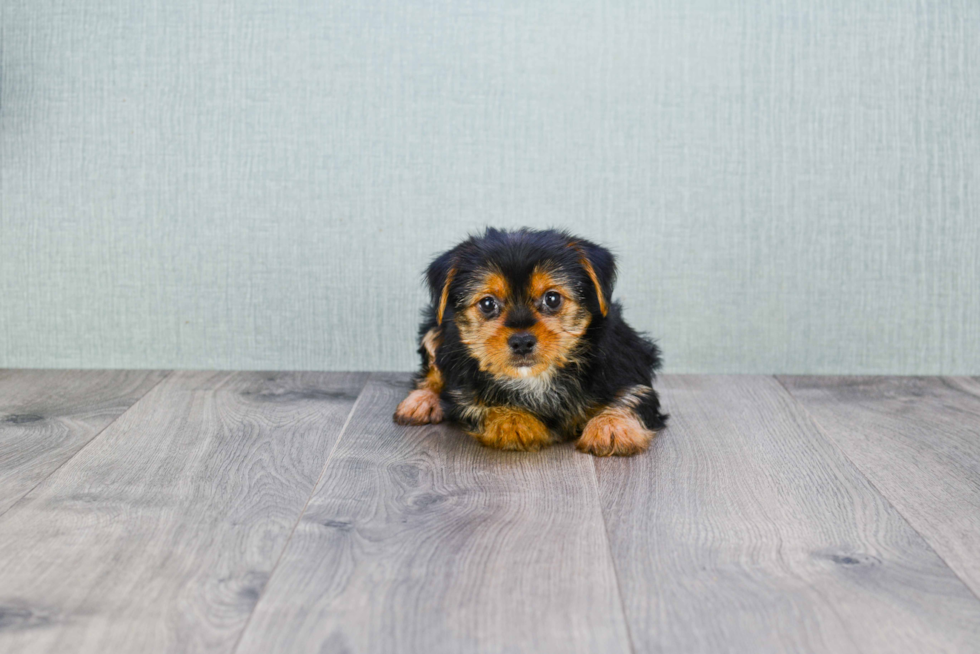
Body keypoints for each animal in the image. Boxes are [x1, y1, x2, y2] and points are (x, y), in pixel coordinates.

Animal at [392, 228, 668, 458]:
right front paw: (514, 421)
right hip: (437, 327)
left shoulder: (626, 363)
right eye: (487, 304)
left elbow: (633, 394)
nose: (522, 341)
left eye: (552, 299)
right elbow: (476, 402)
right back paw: (421, 401)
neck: (535, 378)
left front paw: (610, 427)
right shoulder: (464, 387)